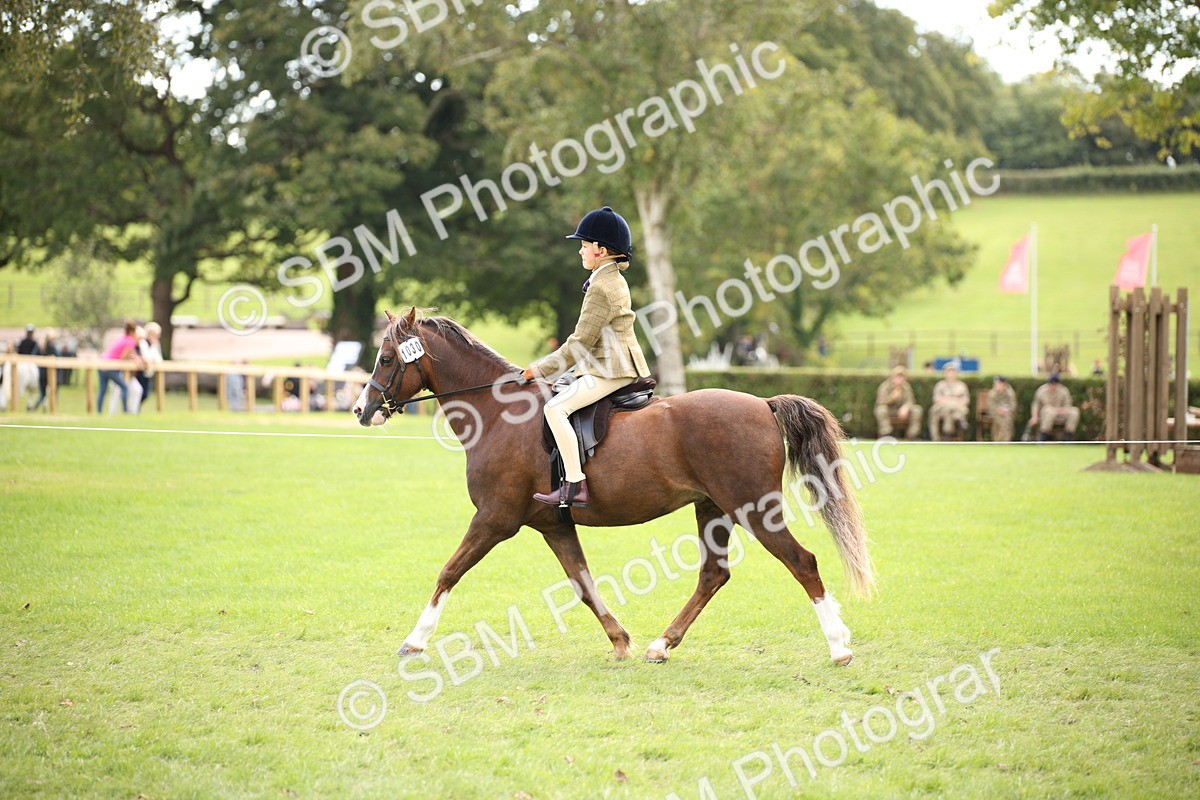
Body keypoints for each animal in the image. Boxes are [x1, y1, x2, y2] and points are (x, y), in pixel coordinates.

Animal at [353, 308, 874, 665]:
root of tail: (764, 403)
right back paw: (660, 645)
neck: (499, 414)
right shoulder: (552, 525)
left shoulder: (495, 519)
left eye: (385, 358)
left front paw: (414, 641)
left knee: (801, 562)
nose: (362, 410)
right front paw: (620, 640)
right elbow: (582, 583)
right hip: (712, 508)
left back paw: (839, 648)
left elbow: (449, 571)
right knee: (713, 575)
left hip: (752, 508)